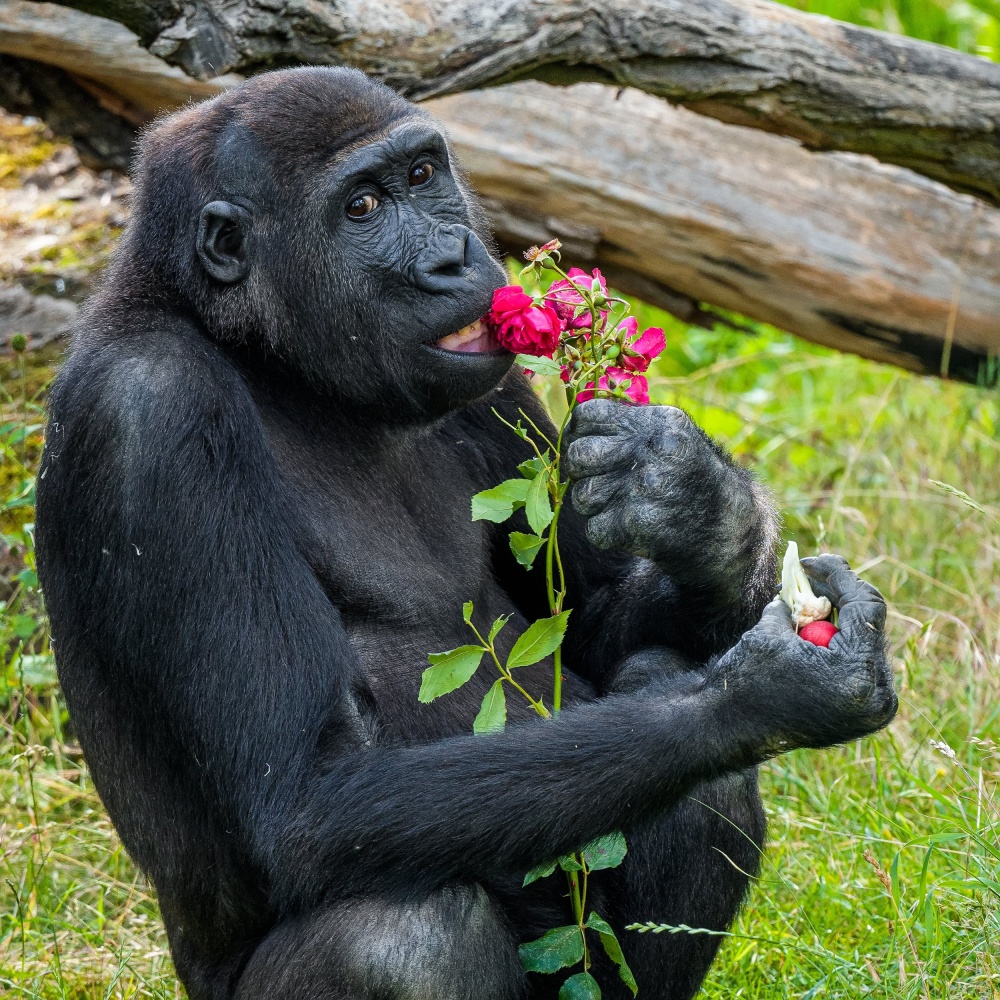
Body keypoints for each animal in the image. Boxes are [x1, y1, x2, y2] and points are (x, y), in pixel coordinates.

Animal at [37, 68, 900, 1000]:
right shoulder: (151, 413)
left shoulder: (492, 378)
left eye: (423, 176)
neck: (262, 352)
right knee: (403, 937)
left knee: (701, 778)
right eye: (363, 206)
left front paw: (697, 505)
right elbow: (303, 798)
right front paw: (760, 695)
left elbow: (597, 630)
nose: (452, 257)